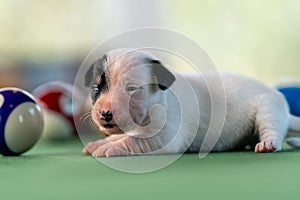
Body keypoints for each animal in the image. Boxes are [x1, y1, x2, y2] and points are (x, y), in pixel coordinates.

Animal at [83, 49, 300, 157]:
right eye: (96, 89)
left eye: (131, 89)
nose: (104, 113)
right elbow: (122, 137)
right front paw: (103, 142)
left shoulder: (165, 136)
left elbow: (134, 141)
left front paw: (107, 148)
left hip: (268, 109)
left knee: (272, 130)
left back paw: (268, 144)